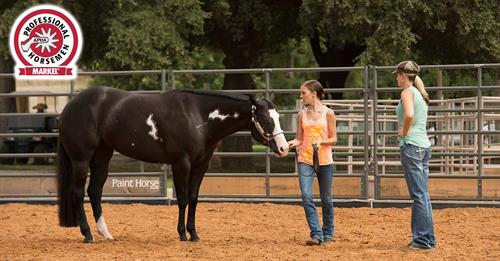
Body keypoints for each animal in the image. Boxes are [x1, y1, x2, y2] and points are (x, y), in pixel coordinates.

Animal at [57, 86, 290, 242]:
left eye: (278, 117)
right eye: (266, 120)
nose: (283, 148)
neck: (197, 117)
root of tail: (70, 106)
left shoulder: (201, 165)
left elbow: (194, 199)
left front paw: (194, 234)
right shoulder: (181, 164)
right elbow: (183, 199)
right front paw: (182, 234)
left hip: (102, 157)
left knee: (94, 191)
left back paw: (106, 234)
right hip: (81, 160)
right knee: (77, 192)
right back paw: (87, 234)